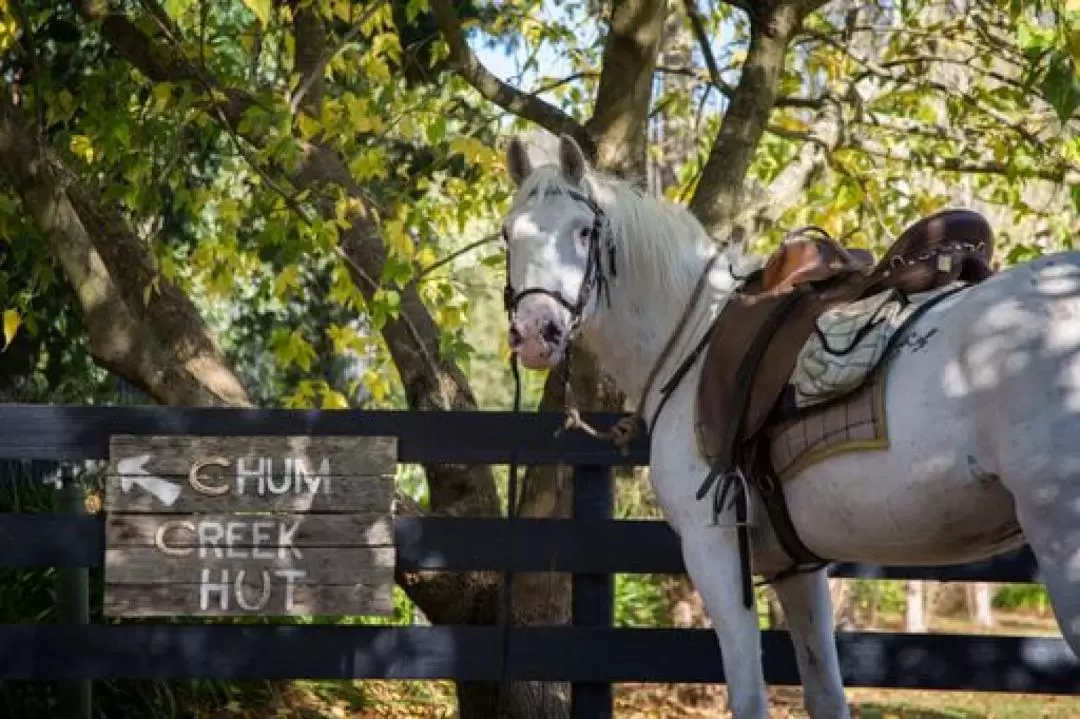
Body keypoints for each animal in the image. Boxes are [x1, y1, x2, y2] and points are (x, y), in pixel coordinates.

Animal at [494, 131, 1080, 712]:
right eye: (507, 235)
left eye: (583, 230)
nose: (537, 332)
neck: (693, 341)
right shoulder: (797, 569)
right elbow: (824, 691)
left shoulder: (714, 548)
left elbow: (748, 695)